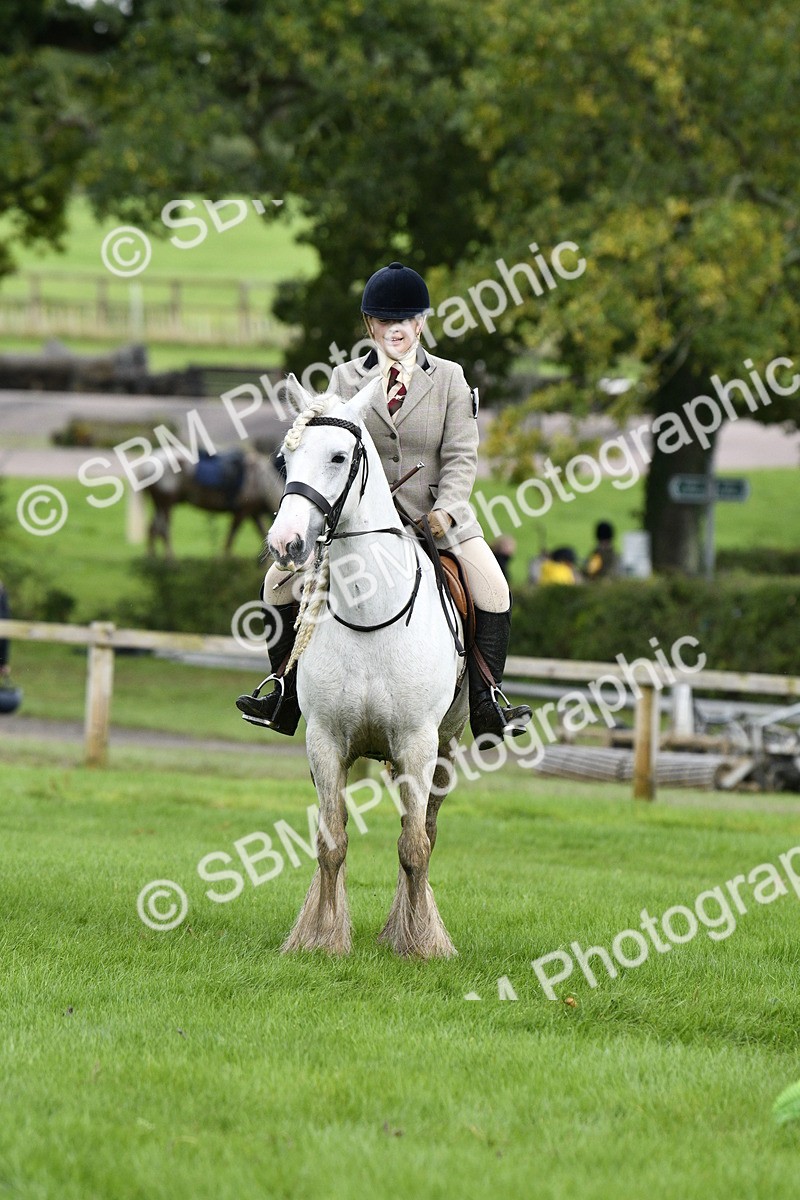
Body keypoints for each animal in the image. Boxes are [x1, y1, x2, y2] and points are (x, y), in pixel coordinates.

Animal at [131, 446, 285, 557]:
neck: (260, 480)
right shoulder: (242, 512)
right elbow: (231, 537)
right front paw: (224, 560)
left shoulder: (253, 512)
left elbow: (262, 532)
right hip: (166, 503)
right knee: (163, 529)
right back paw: (170, 561)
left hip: (159, 503)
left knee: (153, 528)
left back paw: (152, 559)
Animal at [268, 375, 469, 958]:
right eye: (285, 459)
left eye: (339, 456)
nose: (285, 543)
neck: (369, 612)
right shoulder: (326, 741)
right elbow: (331, 842)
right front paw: (322, 938)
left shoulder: (419, 743)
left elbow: (414, 846)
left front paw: (419, 943)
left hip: (445, 745)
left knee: (425, 830)